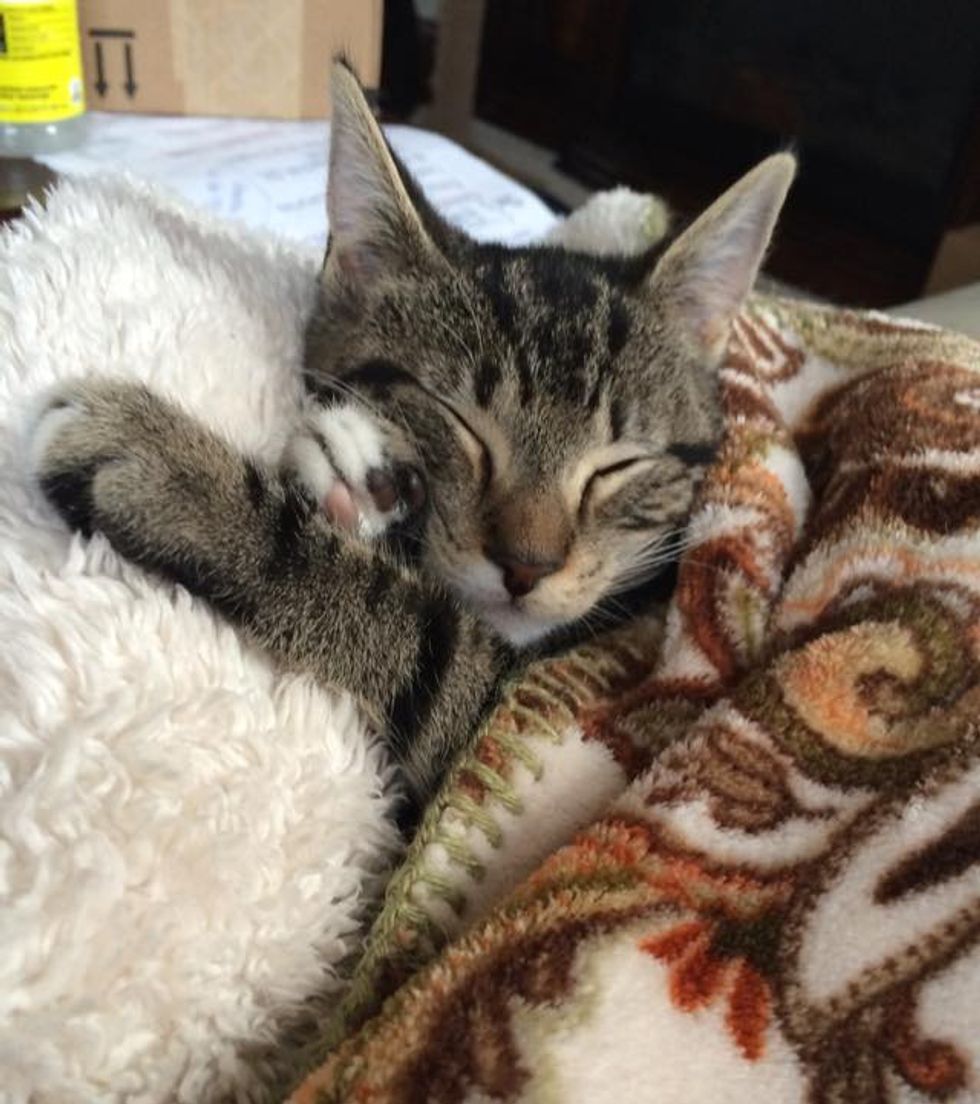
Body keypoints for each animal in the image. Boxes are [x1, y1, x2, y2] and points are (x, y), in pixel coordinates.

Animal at [30, 58, 794, 821]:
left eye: (618, 464)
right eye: (460, 423)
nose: (527, 566)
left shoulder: (572, 714)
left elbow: (421, 640)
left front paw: (180, 476)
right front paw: (364, 483)